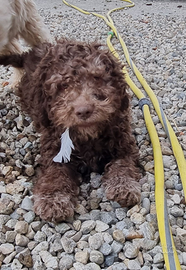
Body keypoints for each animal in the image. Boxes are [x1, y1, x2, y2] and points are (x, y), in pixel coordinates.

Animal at [0, 39, 141, 223]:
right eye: (63, 86)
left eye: (97, 78)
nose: (84, 111)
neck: (88, 136)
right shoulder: (54, 148)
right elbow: (55, 173)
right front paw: (53, 200)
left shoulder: (123, 142)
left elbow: (123, 162)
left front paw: (123, 185)